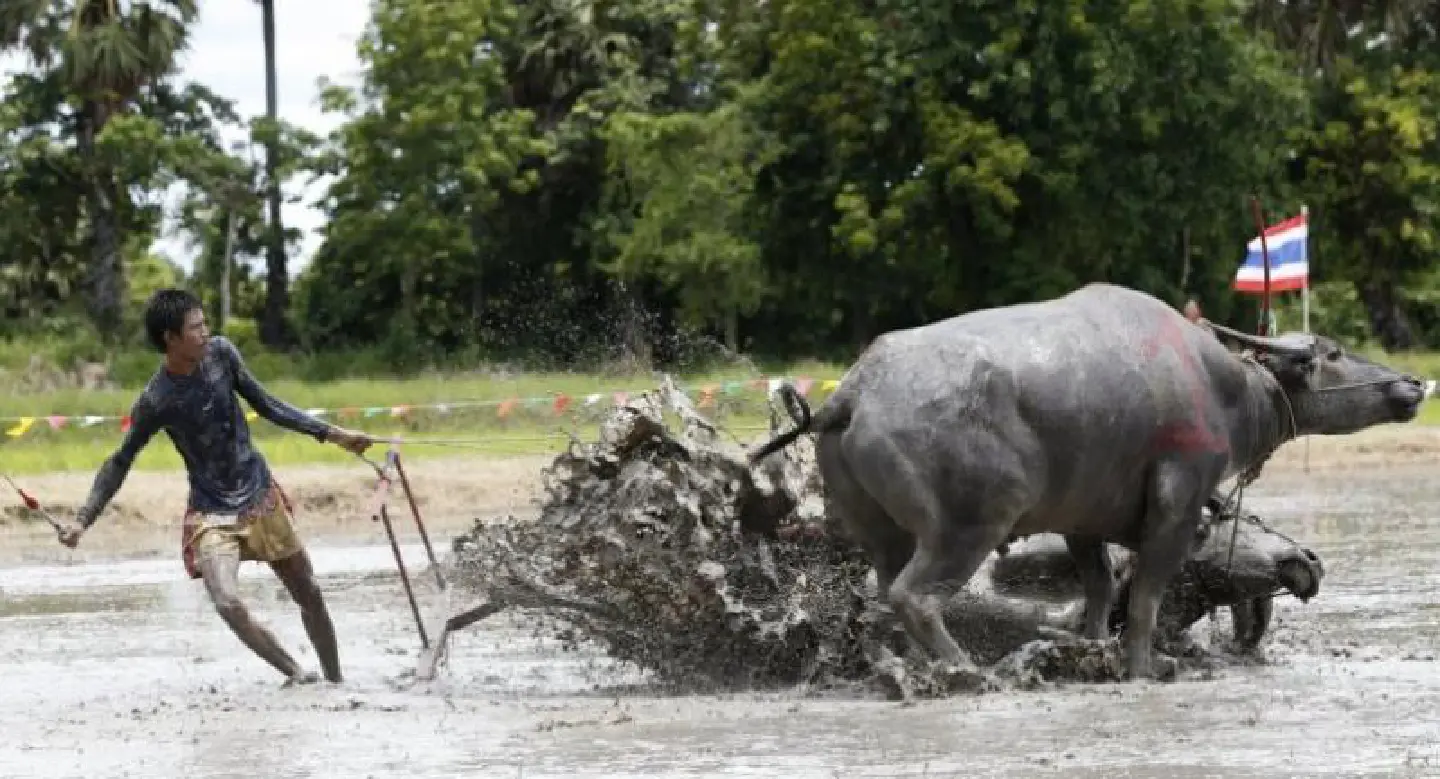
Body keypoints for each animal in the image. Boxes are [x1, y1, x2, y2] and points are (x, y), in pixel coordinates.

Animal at [748, 283, 1423, 681]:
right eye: (1331, 352)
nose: (1413, 383)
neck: (1223, 386)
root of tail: (853, 393)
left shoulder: (1083, 521)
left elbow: (1099, 591)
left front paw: (1092, 649)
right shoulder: (1176, 508)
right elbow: (1146, 600)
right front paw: (1140, 668)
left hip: (881, 532)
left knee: (885, 593)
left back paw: (910, 667)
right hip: (967, 527)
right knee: (916, 597)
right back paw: (971, 673)